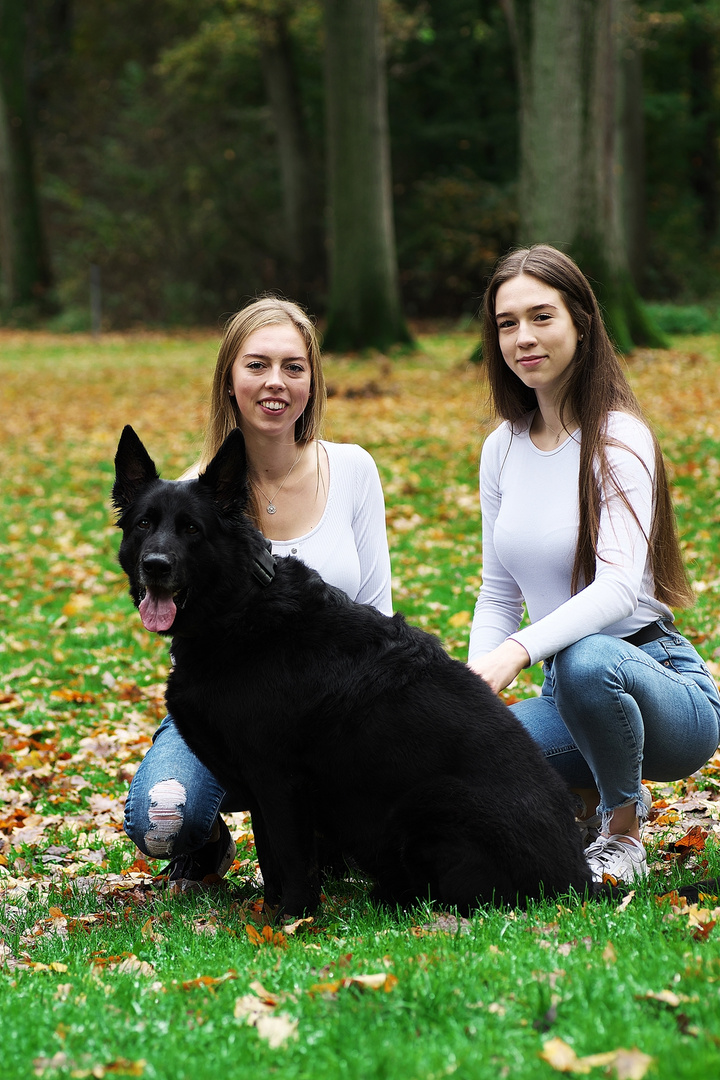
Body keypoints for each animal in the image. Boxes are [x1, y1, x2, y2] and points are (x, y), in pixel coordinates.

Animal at [112, 425, 591, 915]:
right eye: (144, 524)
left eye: (191, 528)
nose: (155, 567)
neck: (238, 607)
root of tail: (580, 880)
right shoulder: (263, 789)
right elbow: (270, 858)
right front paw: (269, 913)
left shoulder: (279, 783)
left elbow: (289, 858)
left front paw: (294, 918)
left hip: (433, 802)